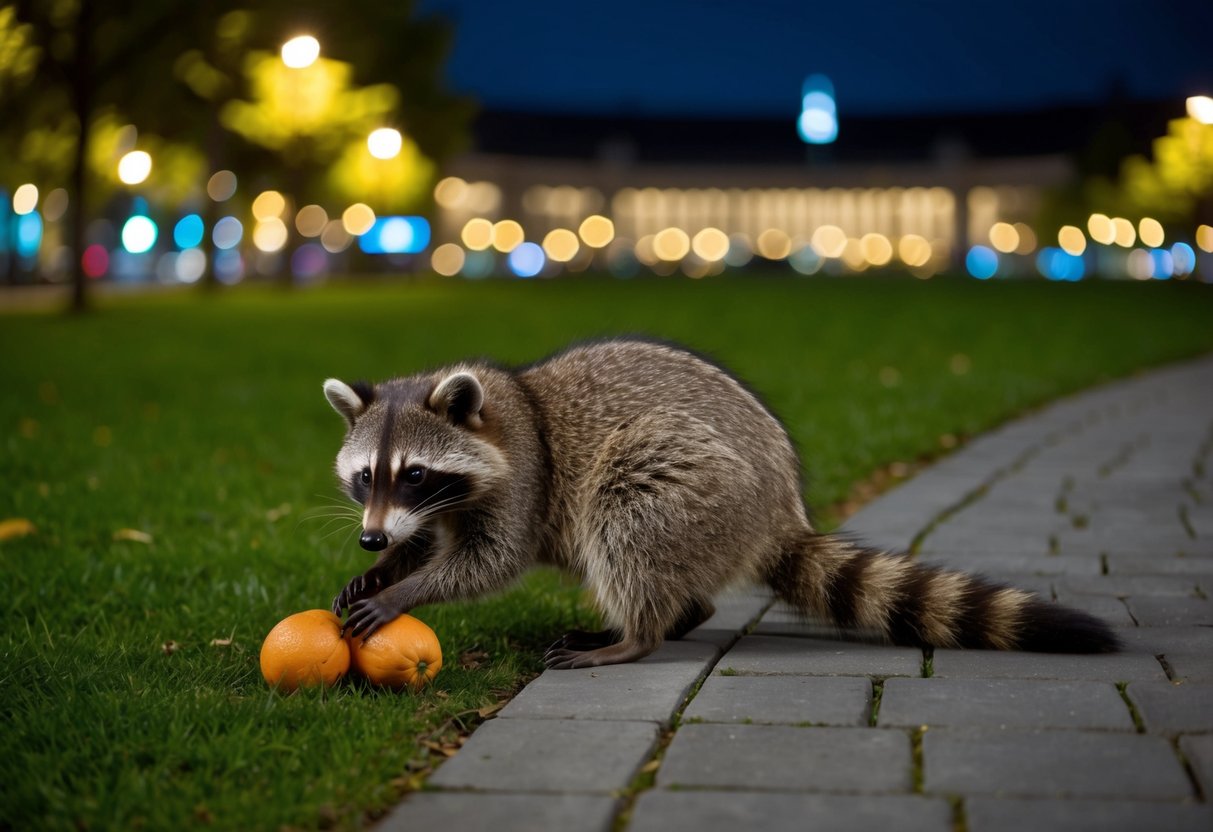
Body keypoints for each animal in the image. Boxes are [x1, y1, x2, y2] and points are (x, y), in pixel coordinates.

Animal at [324, 338, 1117, 668]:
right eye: (366, 477)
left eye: (414, 473)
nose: (368, 540)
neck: (493, 409)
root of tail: (781, 511)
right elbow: (436, 540)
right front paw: (388, 568)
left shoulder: (524, 475)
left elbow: (490, 560)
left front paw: (406, 591)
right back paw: (674, 615)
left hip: (695, 480)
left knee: (626, 512)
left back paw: (637, 635)